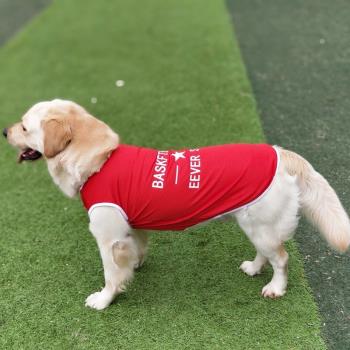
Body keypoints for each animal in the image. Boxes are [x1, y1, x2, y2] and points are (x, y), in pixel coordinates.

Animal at [3, 98, 350, 308]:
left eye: (24, 126)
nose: (4, 131)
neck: (100, 161)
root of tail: (281, 152)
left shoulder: (108, 237)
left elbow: (111, 274)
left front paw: (103, 300)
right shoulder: (131, 226)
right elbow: (138, 248)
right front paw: (136, 265)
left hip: (261, 226)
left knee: (281, 258)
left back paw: (276, 287)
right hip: (255, 224)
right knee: (267, 253)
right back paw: (253, 268)